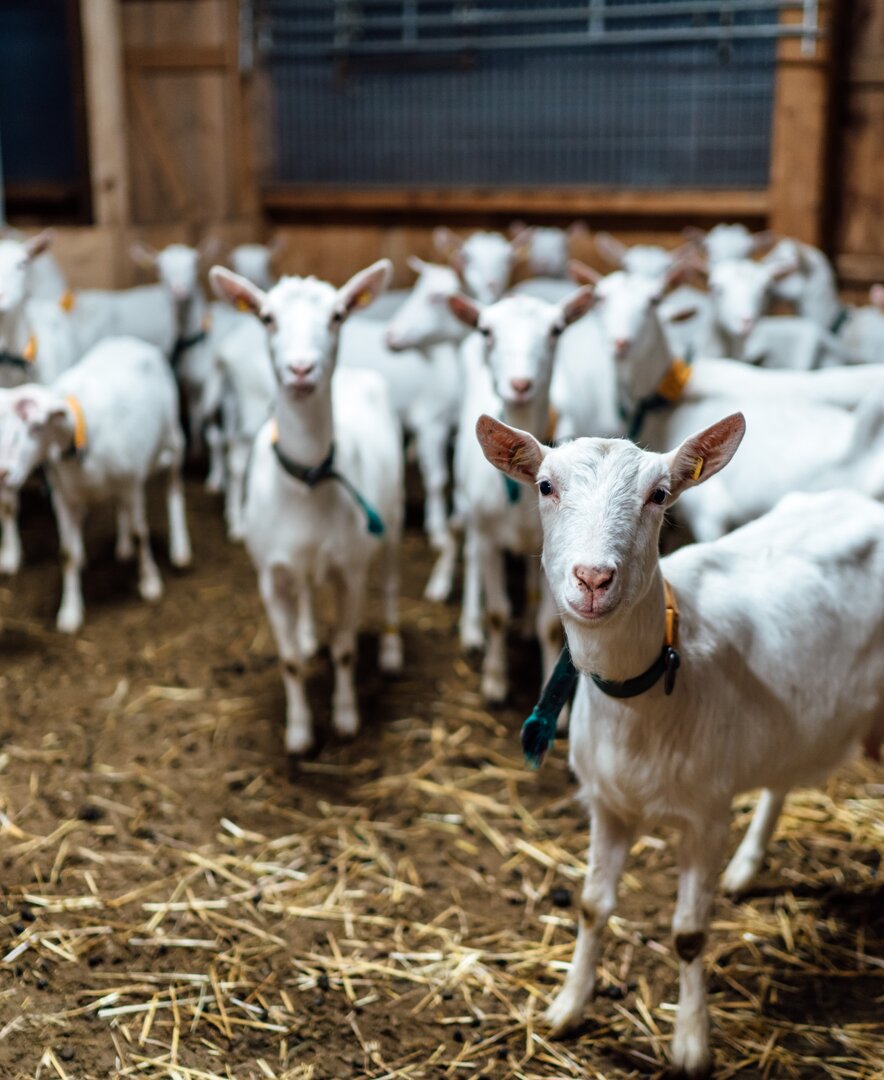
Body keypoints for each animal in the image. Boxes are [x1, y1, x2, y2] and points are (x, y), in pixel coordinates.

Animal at [0, 336, 189, 630]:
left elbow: (142, 533)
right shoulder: (63, 496)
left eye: (36, 428)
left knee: (174, 488)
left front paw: (150, 583)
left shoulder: (131, 483)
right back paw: (123, 546)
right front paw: (70, 612)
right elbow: (67, 553)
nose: (3, 473)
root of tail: (131, 342)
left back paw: (180, 549)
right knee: (121, 509)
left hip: (174, 439)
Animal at [212, 258, 405, 756]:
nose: (301, 369)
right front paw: (298, 734)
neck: (308, 483)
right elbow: (289, 660)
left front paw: (345, 718)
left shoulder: (350, 569)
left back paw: (391, 650)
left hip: (391, 518)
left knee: (391, 581)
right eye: (266, 317)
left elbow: (346, 650)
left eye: (337, 316)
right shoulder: (270, 574)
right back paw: (307, 632)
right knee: (306, 592)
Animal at [449, 285, 595, 699]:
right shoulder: (487, 533)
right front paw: (495, 682)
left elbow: (550, 626)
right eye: (486, 331)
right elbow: (498, 612)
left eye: (556, 330)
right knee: (467, 546)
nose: (520, 385)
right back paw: (470, 628)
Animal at [481, 408, 884, 1075]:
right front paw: (567, 1008)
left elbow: (690, 935)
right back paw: (746, 867)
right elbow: (592, 905)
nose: (593, 578)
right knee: (782, 776)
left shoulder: (706, 812)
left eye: (659, 494)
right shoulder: (608, 804)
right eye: (544, 485)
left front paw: (692, 1042)